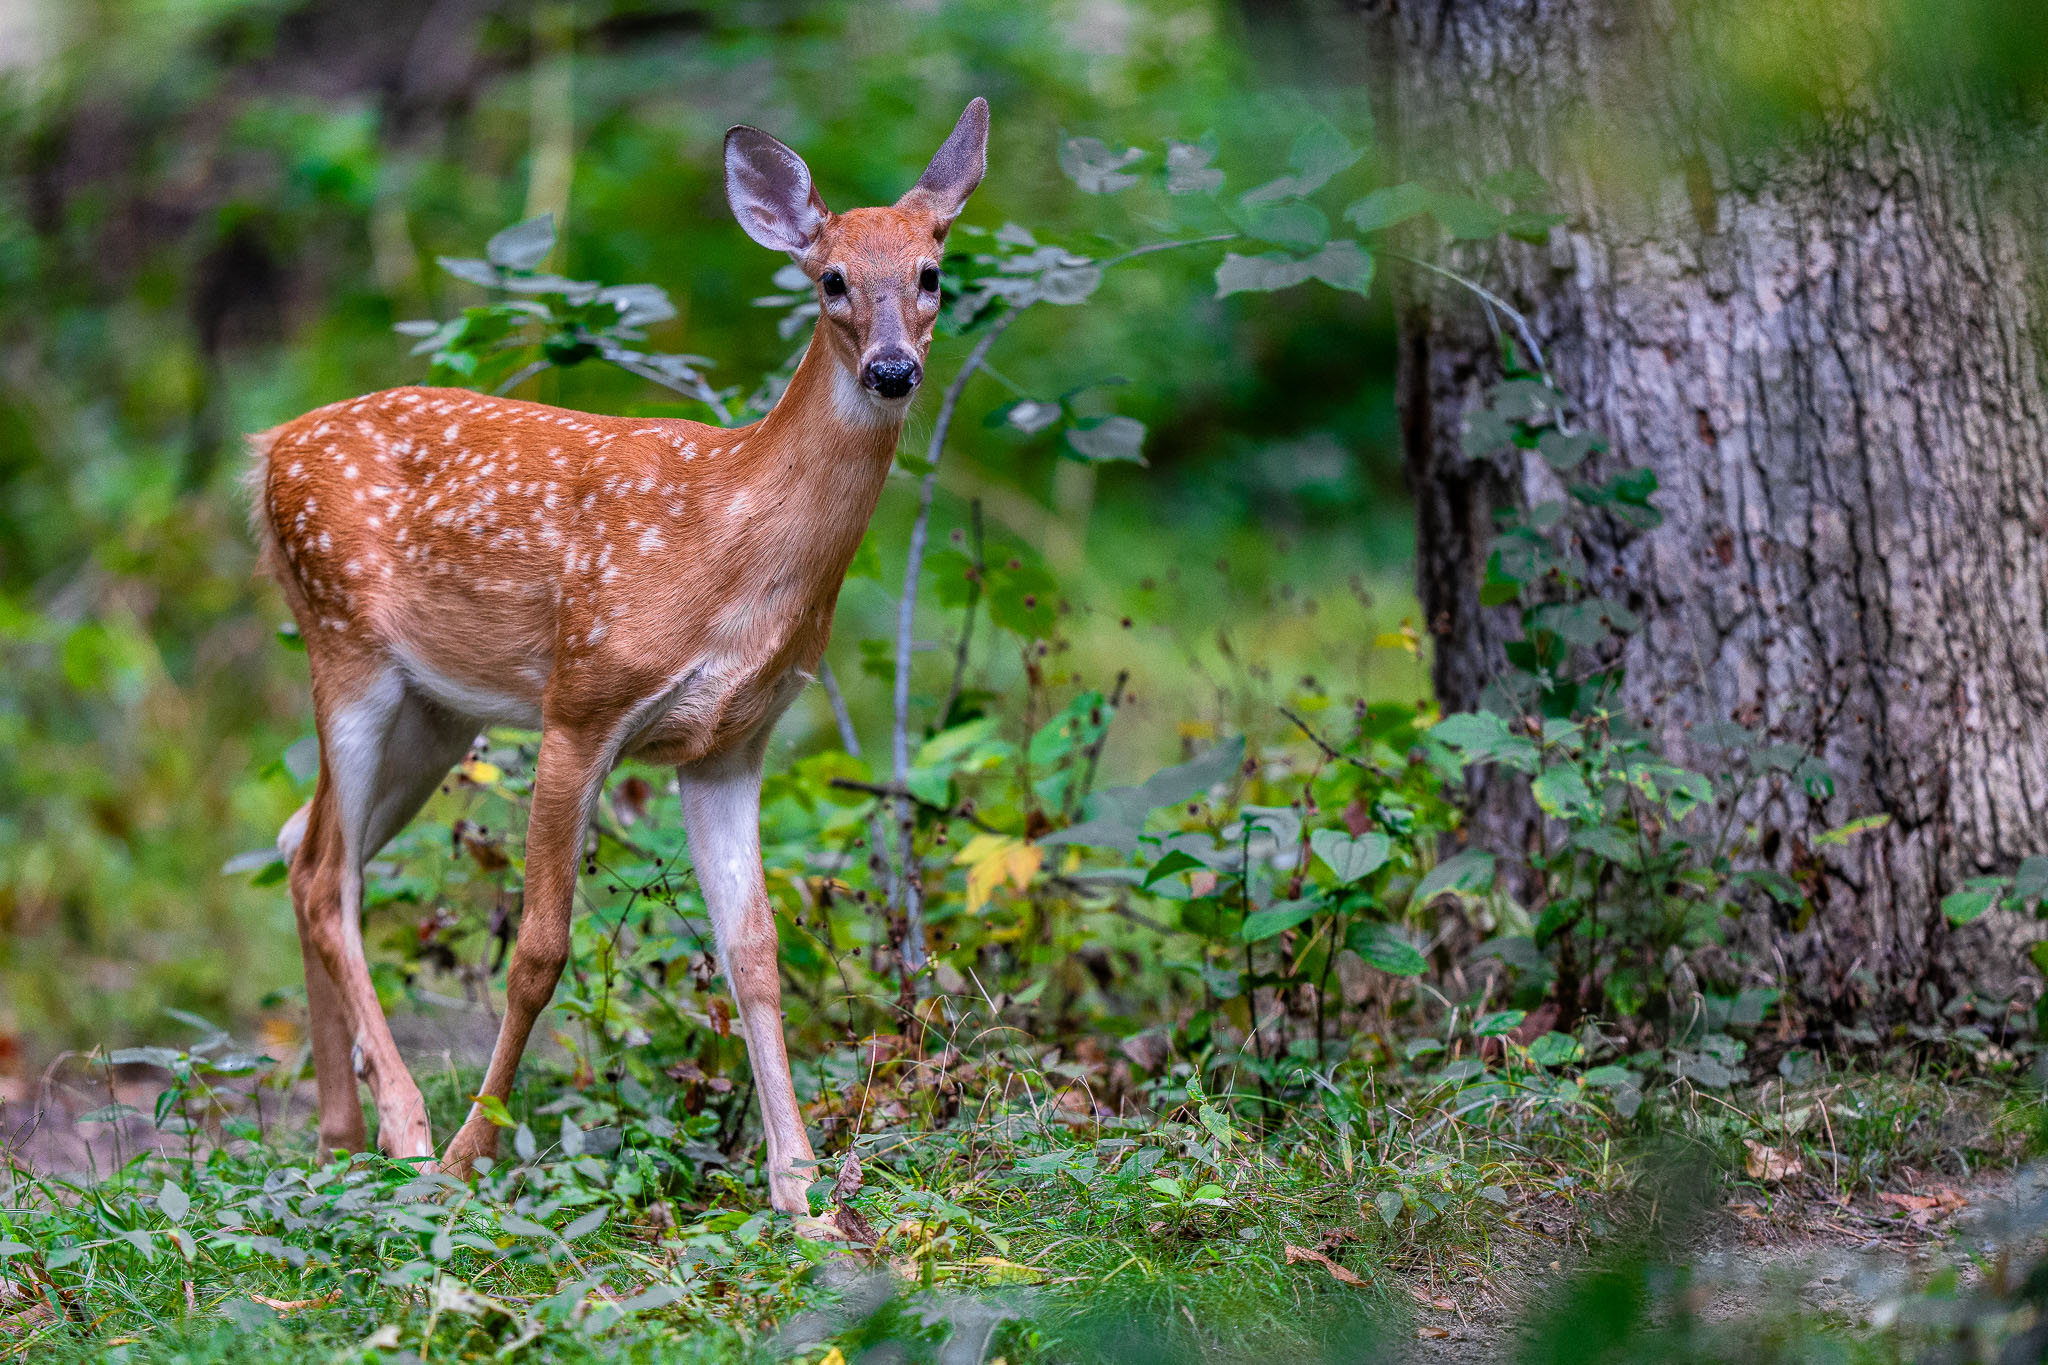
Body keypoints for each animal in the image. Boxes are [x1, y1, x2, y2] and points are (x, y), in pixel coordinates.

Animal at [247, 99, 989, 1215]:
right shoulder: (583, 700)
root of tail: (269, 452)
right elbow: (539, 949)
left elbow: (754, 952)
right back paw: (409, 1132)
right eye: (830, 280)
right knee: (327, 870)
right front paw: (470, 1155)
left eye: (932, 272)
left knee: (305, 846)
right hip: (344, 647)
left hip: (437, 710)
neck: (733, 543)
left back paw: (341, 1132)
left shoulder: (730, 743)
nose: (892, 369)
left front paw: (801, 1195)